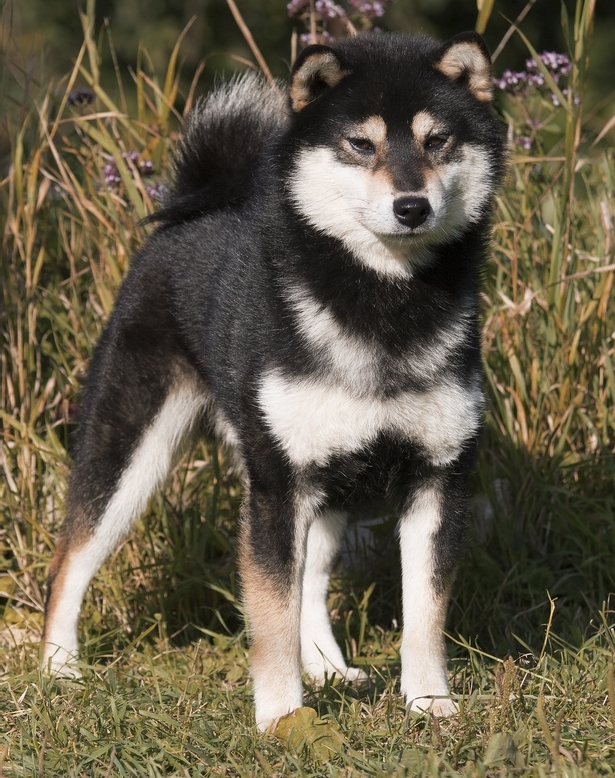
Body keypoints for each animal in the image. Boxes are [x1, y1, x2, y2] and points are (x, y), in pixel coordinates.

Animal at [42, 30, 506, 732]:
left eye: (437, 141)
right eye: (361, 144)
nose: (411, 206)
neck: (383, 305)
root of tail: (201, 203)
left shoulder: (438, 479)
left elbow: (424, 615)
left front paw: (430, 705)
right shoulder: (276, 487)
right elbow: (270, 615)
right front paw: (284, 717)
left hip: (323, 485)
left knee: (310, 584)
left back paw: (330, 669)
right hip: (128, 457)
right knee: (71, 559)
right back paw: (58, 670)